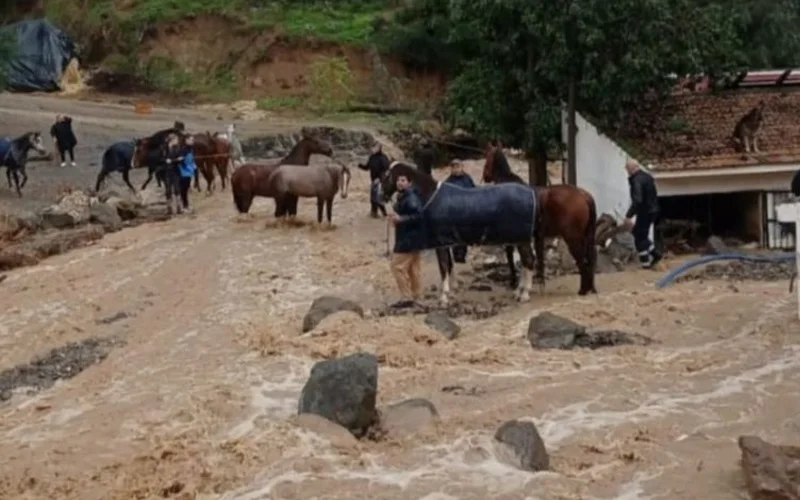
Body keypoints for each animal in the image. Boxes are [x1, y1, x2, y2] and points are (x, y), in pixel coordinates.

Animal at [382, 162, 536, 306]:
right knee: (525, 262)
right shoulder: (447, 242)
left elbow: (443, 267)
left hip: (522, 239)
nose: (382, 195)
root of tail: (531, 195)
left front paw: (443, 297)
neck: (432, 197)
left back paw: (525, 294)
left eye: (386, 175)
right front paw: (452, 291)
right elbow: (449, 265)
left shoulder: (440, 243)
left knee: (528, 261)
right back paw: (518, 291)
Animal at [478, 143, 596, 294]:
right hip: (585, 237)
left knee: (583, 262)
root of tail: (584, 195)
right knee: (589, 260)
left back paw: (583, 290)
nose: (485, 176)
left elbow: (513, 257)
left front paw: (515, 282)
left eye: (487, 156)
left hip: (573, 238)